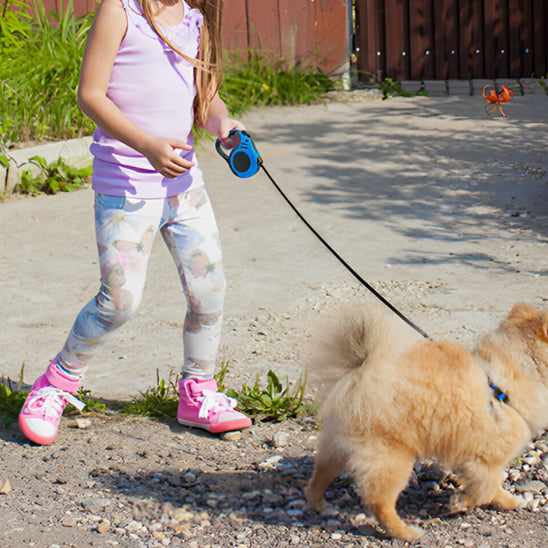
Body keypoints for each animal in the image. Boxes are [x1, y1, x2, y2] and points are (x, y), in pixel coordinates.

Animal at [304, 302, 548, 540]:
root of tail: (360, 377)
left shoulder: (480, 460)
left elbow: (491, 487)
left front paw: (508, 501)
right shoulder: (487, 458)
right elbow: (485, 490)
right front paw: (460, 503)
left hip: (337, 449)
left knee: (318, 477)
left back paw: (320, 505)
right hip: (392, 459)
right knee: (379, 502)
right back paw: (406, 533)